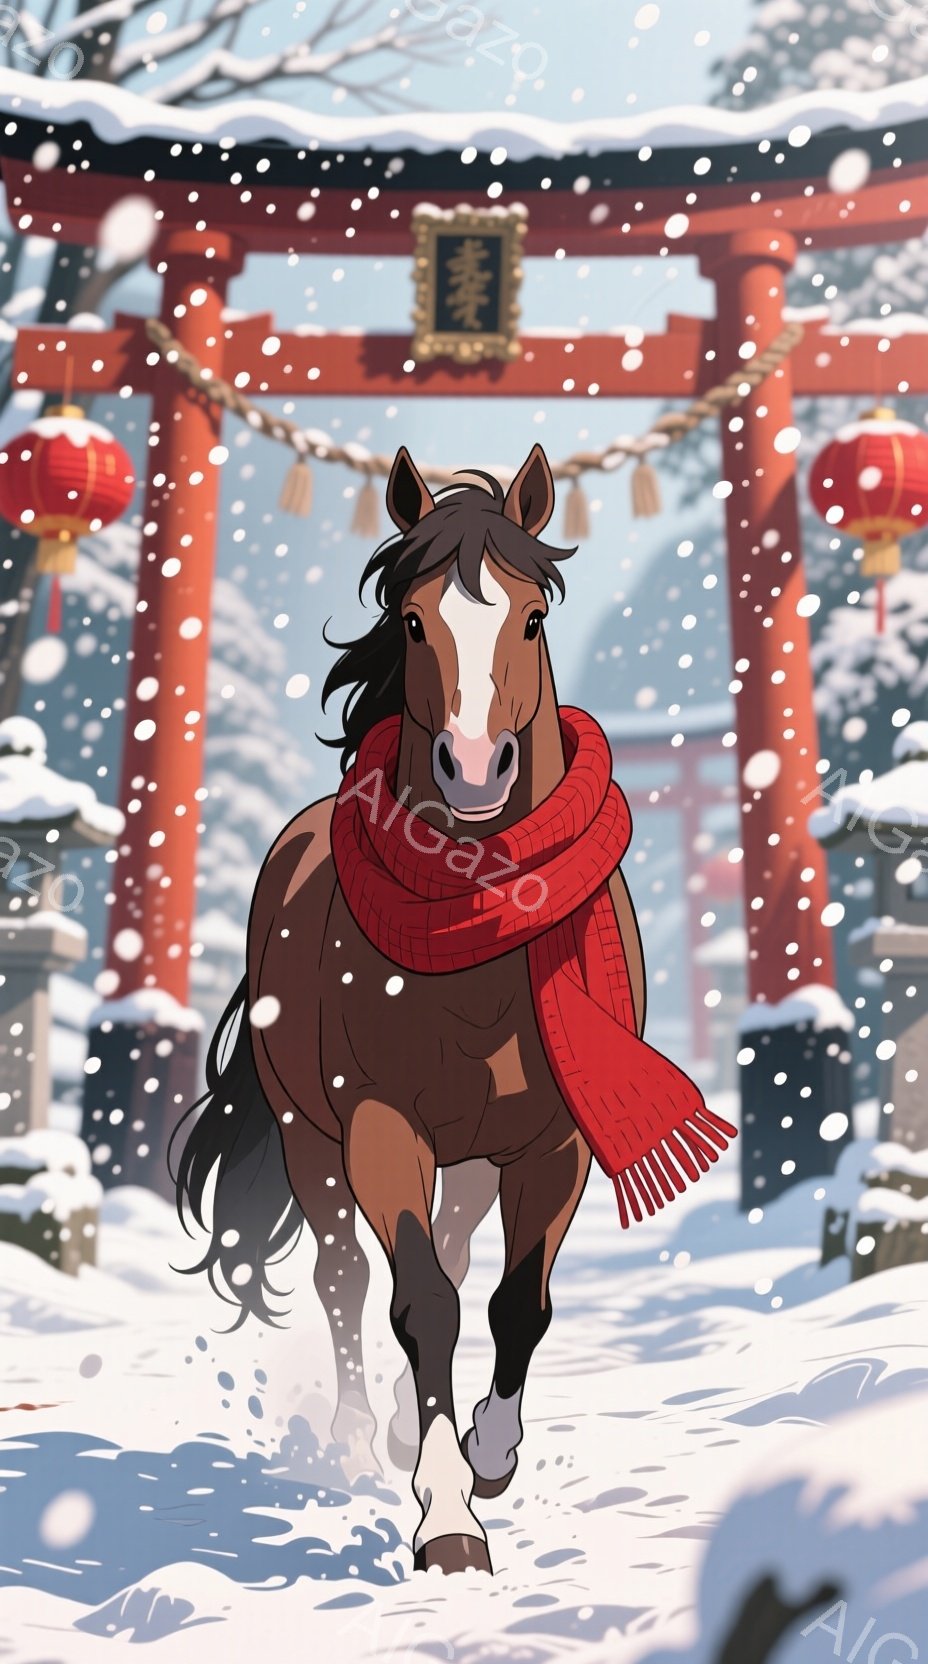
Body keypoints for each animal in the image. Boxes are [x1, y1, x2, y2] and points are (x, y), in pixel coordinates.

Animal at [174, 443, 731, 1576]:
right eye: (414, 620)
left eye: (533, 618)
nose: (475, 771)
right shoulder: (382, 1128)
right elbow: (419, 1300)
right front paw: (445, 1514)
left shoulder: (558, 1139)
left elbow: (517, 1300)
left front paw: (490, 1454)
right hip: (312, 1136)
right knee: (348, 1277)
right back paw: (356, 1435)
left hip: (474, 1157)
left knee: (456, 1250)